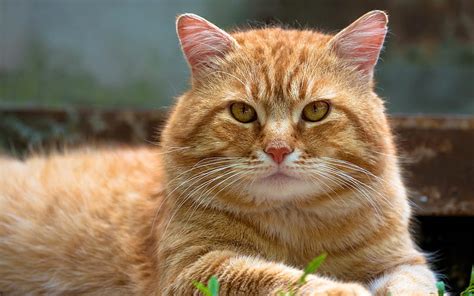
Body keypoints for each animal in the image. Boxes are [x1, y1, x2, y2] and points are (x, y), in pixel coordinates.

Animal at [0, 10, 440, 294]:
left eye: (316, 110)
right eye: (242, 112)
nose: (278, 149)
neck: (294, 225)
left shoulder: (403, 263)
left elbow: (412, 286)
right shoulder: (196, 269)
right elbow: (281, 280)